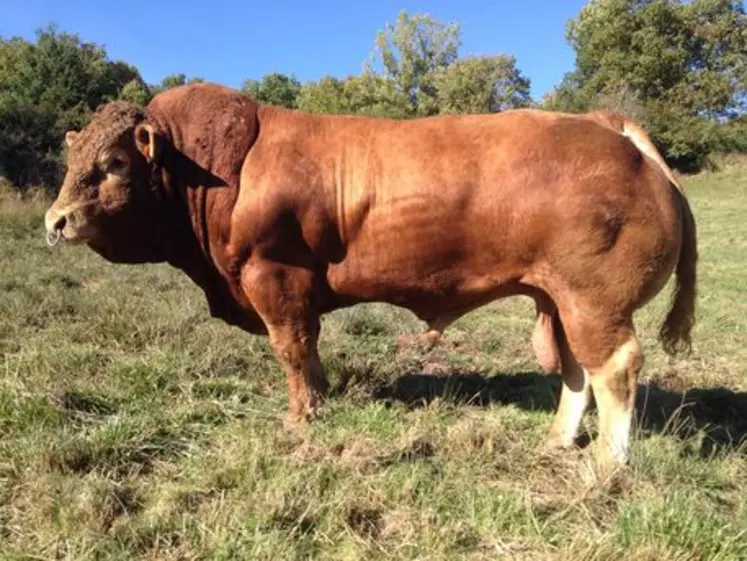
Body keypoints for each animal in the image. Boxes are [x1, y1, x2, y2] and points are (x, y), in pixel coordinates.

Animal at [43, 82, 700, 464]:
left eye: (114, 162)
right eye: (74, 159)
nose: (56, 221)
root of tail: (608, 124)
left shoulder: (272, 277)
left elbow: (291, 348)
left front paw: (299, 419)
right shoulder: (296, 290)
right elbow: (309, 350)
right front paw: (321, 398)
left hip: (595, 300)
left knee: (614, 367)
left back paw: (606, 466)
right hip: (559, 298)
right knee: (575, 369)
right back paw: (558, 440)